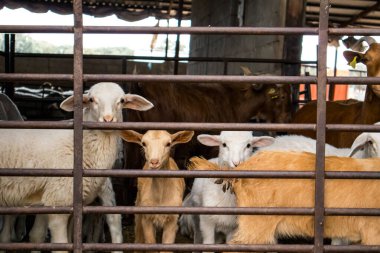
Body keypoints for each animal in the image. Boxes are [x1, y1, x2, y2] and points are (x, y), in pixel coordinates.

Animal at [0, 82, 154, 252]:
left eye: (121, 100)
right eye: (91, 100)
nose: (108, 119)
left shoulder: (49, 198)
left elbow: (38, 236)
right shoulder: (58, 200)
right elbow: (59, 244)